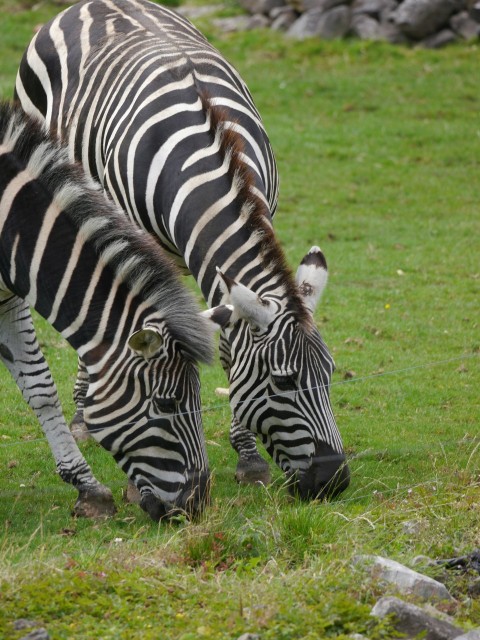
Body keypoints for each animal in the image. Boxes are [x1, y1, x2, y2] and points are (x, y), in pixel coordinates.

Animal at [0, 100, 221, 520]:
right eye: (167, 403)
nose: (196, 505)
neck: (8, 223)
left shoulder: (7, 298)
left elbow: (40, 388)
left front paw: (88, 488)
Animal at [15, 0, 350, 500]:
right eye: (284, 381)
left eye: (329, 374)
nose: (334, 481)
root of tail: (92, 4)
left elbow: (228, 346)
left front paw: (247, 457)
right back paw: (81, 417)